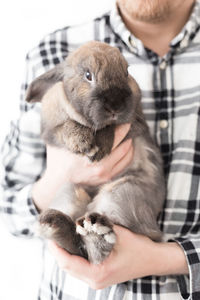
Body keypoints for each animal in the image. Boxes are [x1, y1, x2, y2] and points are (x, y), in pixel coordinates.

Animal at [25, 41, 165, 264]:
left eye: (126, 72)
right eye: (88, 75)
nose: (115, 105)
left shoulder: (136, 124)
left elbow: (113, 127)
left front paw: (100, 149)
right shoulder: (50, 132)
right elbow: (65, 127)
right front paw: (83, 143)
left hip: (122, 192)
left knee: (97, 249)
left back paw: (95, 228)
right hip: (70, 190)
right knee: (79, 246)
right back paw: (55, 224)